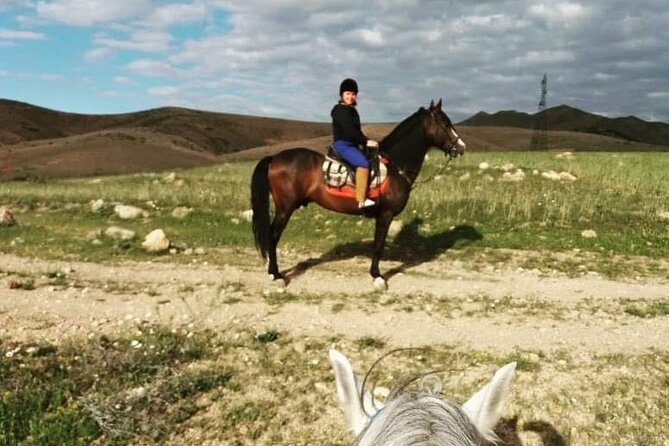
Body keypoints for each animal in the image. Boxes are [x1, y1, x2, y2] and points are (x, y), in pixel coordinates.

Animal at [249, 100, 464, 290]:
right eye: (445, 123)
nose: (461, 147)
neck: (395, 166)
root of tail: (274, 158)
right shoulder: (385, 215)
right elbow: (378, 245)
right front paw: (377, 277)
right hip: (285, 208)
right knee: (272, 236)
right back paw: (276, 275)